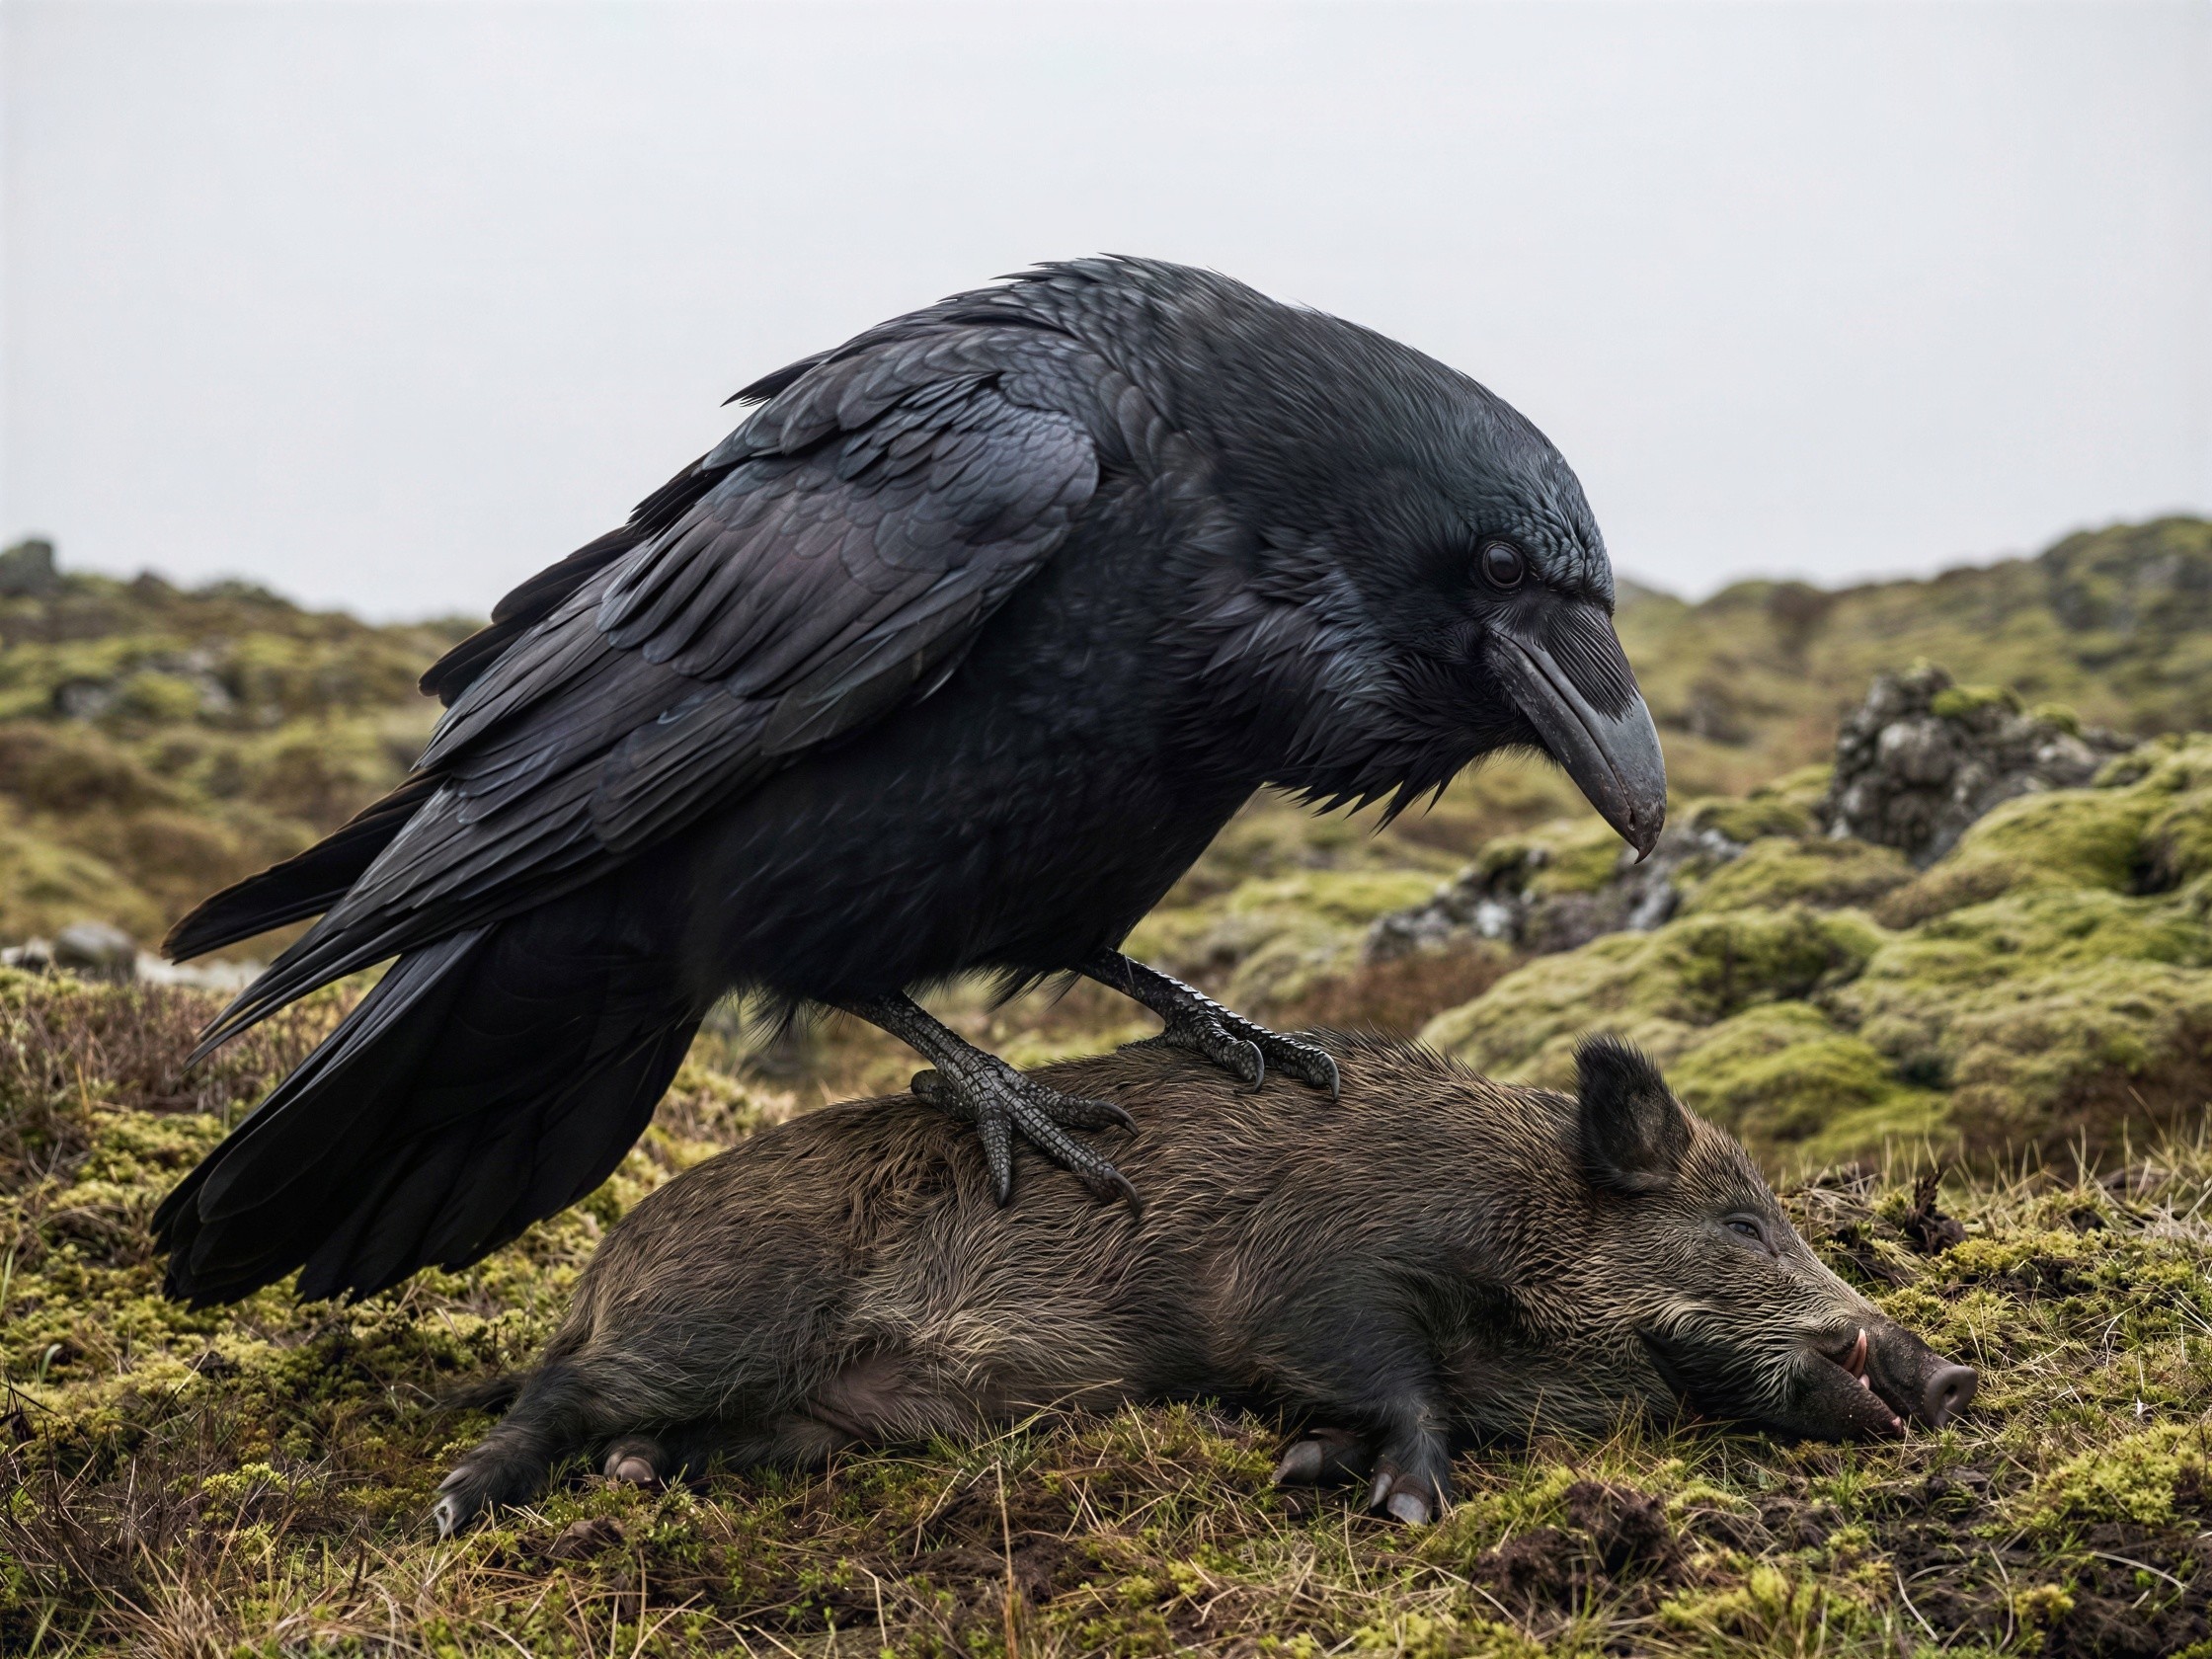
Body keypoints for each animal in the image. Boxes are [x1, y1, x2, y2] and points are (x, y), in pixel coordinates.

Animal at [433, 1034, 1976, 1533]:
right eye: (1740, 1224)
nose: (1951, 1369)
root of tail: (607, 1256)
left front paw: (1306, 1467)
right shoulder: (1311, 1277)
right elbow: (1398, 1387)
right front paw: (1403, 1507)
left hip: (796, 1412)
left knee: (650, 1431)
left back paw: (640, 1479)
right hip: (716, 1311)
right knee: (556, 1390)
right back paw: (462, 1508)